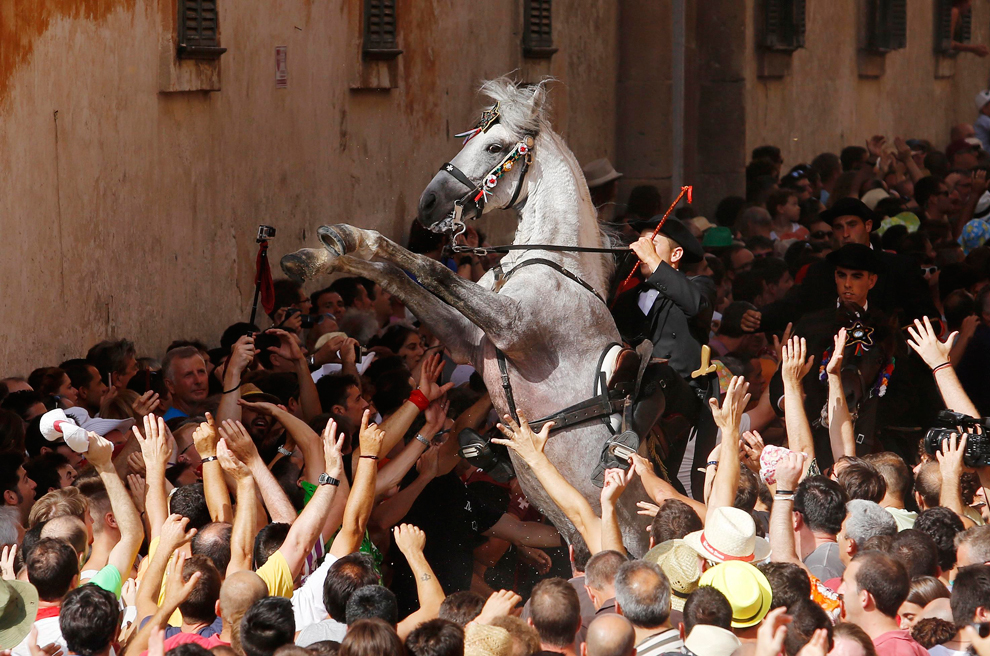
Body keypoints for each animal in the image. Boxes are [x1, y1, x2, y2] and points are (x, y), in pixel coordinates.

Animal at [282, 78, 656, 560]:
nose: (428, 203)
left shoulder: (511, 327)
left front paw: (352, 240)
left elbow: (429, 268)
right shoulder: (466, 339)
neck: (555, 262)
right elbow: (392, 273)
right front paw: (320, 253)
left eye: (494, 146)